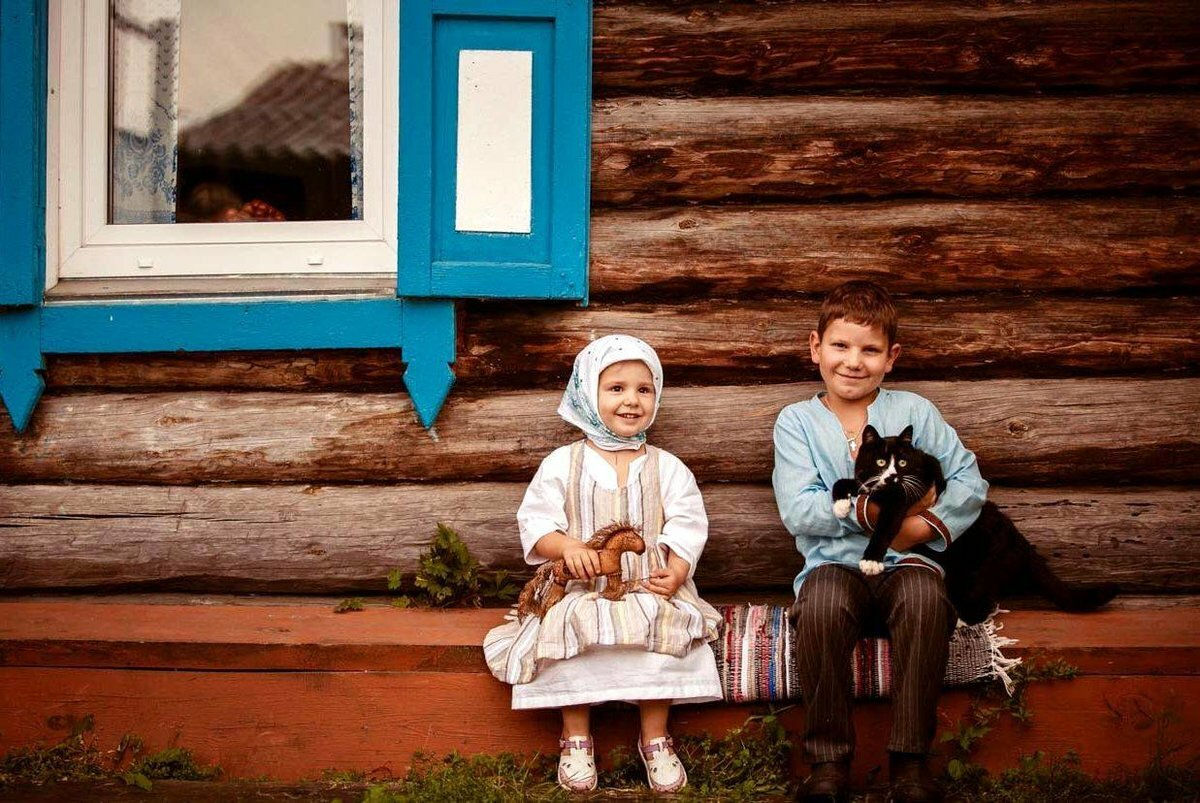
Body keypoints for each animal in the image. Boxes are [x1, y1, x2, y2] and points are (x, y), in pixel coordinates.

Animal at [835, 422, 1113, 624]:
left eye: (902, 462)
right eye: (881, 462)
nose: (893, 477)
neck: (885, 491)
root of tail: (1021, 543)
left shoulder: (906, 495)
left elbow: (884, 527)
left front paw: (871, 562)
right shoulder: (871, 484)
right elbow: (847, 481)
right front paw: (839, 504)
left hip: (979, 572)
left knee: (981, 606)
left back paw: (960, 622)